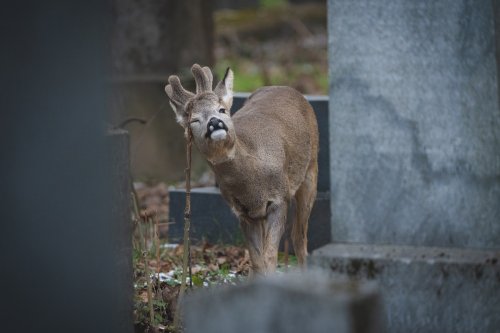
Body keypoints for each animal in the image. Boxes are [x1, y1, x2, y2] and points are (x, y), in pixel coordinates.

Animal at [166, 63, 318, 274]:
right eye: (194, 120)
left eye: (221, 109)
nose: (214, 122)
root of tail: (284, 87)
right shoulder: (243, 212)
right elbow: (257, 260)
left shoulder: (280, 198)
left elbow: (269, 256)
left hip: (311, 170)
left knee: (299, 237)